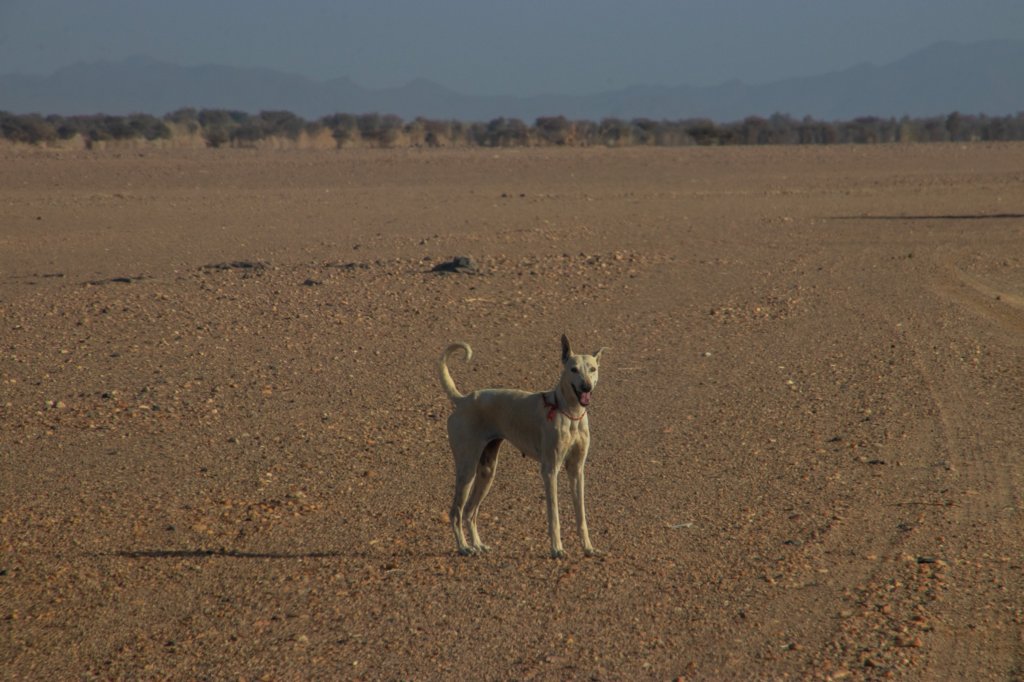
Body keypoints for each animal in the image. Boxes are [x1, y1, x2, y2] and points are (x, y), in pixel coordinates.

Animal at [436, 333, 602, 557]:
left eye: (592, 369)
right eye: (573, 369)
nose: (586, 387)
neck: (570, 413)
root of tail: (462, 400)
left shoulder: (576, 470)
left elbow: (581, 516)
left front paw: (588, 548)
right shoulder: (550, 470)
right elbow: (554, 516)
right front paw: (557, 549)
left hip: (487, 471)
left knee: (470, 511)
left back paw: (478, 545)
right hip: (467, 469)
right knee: (456, 511)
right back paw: (463, 547)